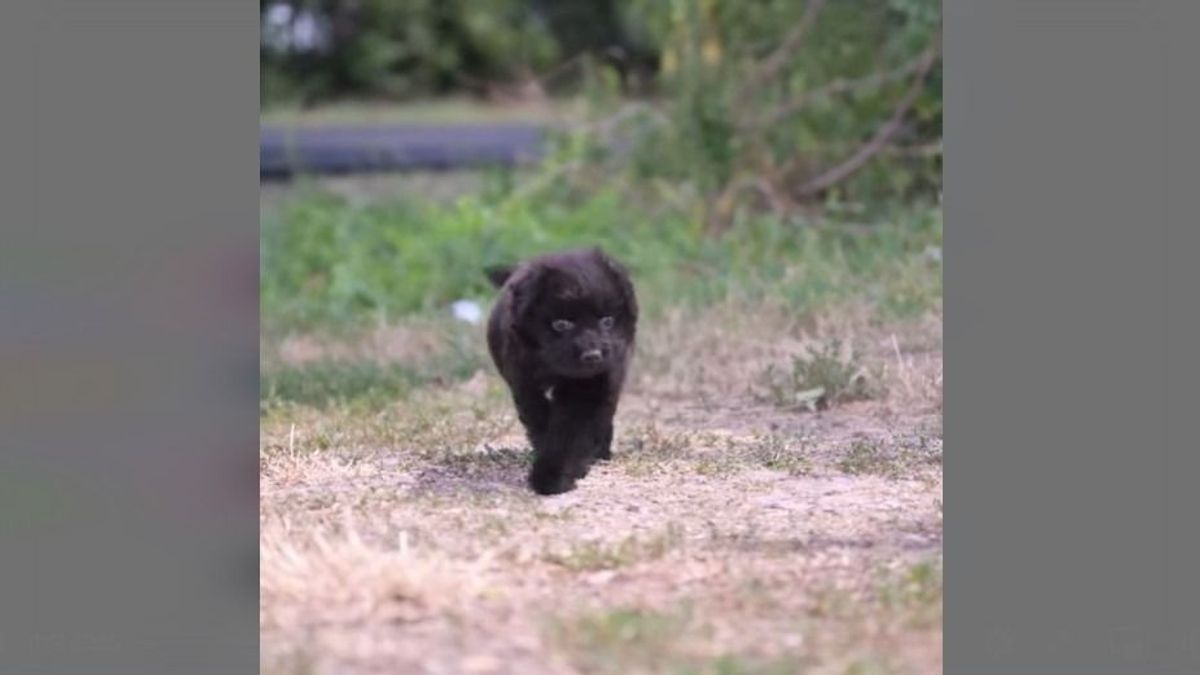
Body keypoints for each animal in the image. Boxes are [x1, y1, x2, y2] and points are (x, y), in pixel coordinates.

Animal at [484, 248, 643, 494]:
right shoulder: (523, 381)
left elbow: (572, 430)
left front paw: (554, 475)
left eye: (607, 321)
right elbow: (541, 420)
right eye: (561, 324)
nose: (592, 355)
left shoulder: (592, 385)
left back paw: (601, 453)